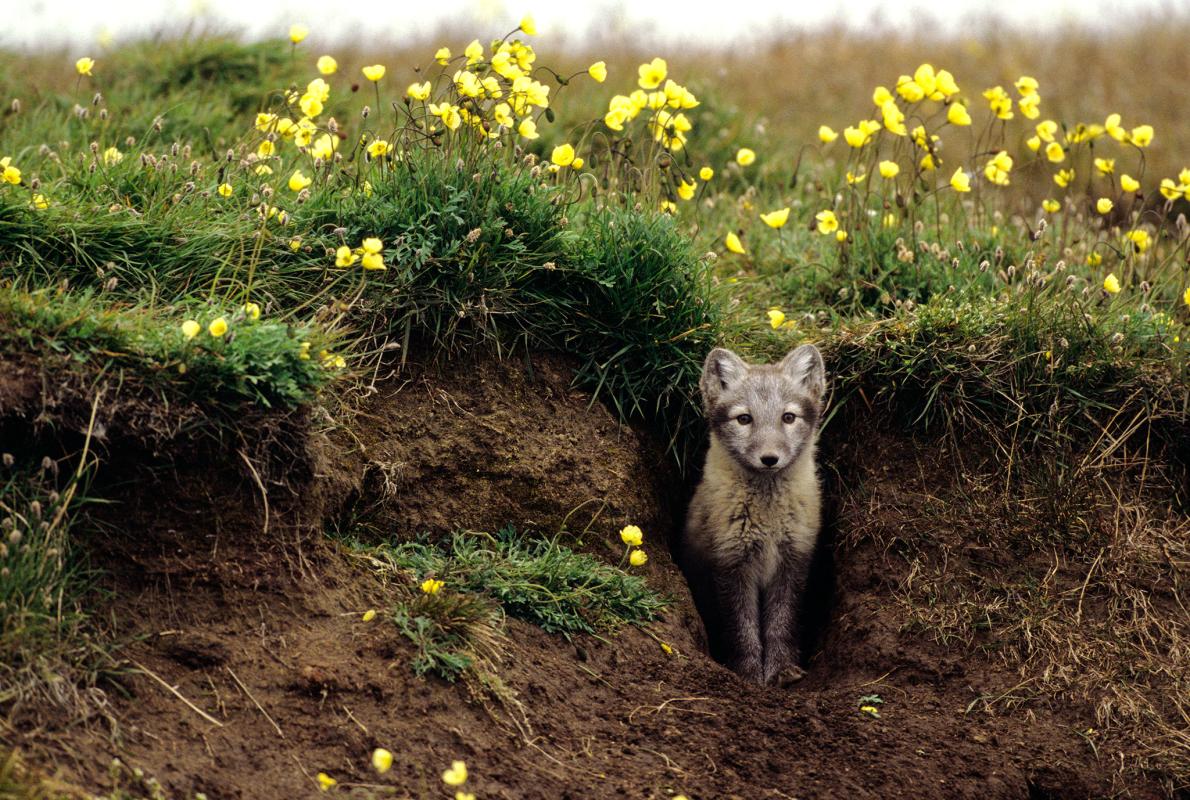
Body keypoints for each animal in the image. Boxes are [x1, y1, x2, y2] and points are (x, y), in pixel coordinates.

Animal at [683, 344, 826, 686]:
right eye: (744, 418)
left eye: (788, 417)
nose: (769, 458)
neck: (768, 522)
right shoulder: (730, 563)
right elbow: (741, 628)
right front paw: (747, 675)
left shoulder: (794, 561)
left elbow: (781, 624)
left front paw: (781, 670)